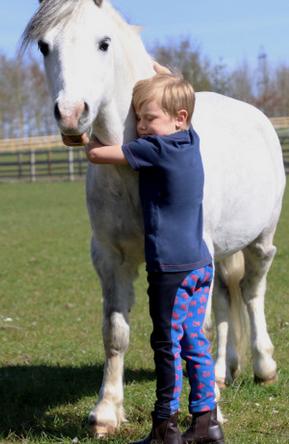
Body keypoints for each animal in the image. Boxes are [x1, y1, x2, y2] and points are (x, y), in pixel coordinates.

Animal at [22, 0, 284, 438]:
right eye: (44, 46)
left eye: (103, 43)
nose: (72, 114)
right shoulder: (110, 258)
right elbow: (116, 332)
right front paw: (106, 412)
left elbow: (197, 329)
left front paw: (210, 413)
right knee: (225, 300)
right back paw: (222, 372)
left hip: (261, 243)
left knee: (250, 293)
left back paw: (263, 368)